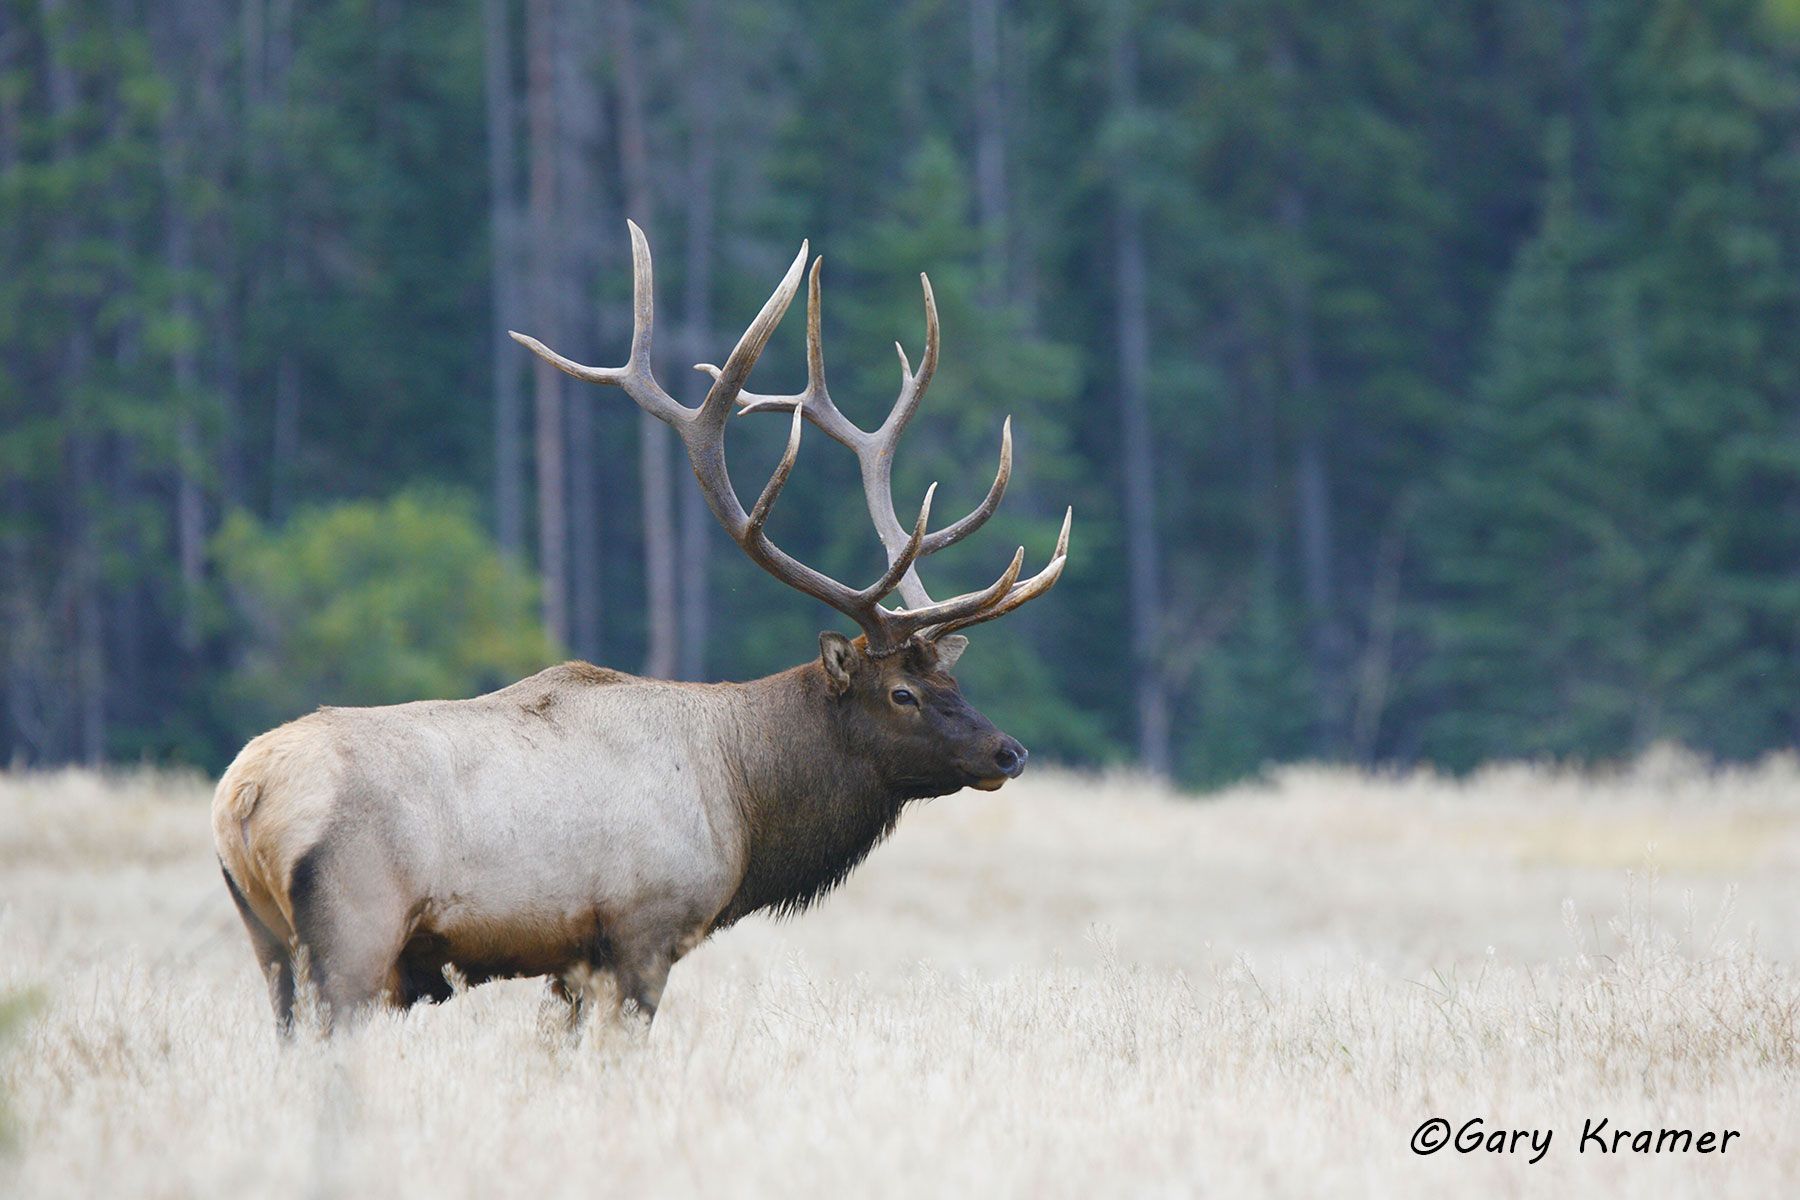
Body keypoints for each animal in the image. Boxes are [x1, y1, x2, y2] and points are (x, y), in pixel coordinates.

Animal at [212, 222, 1071, 1034]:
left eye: (952, 676)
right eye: (901, 693)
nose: (1010, 751)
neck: (744, 801)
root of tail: (243, 798)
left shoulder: (571, 958)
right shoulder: (644, 925)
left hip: (267, 938)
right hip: (354, 925)